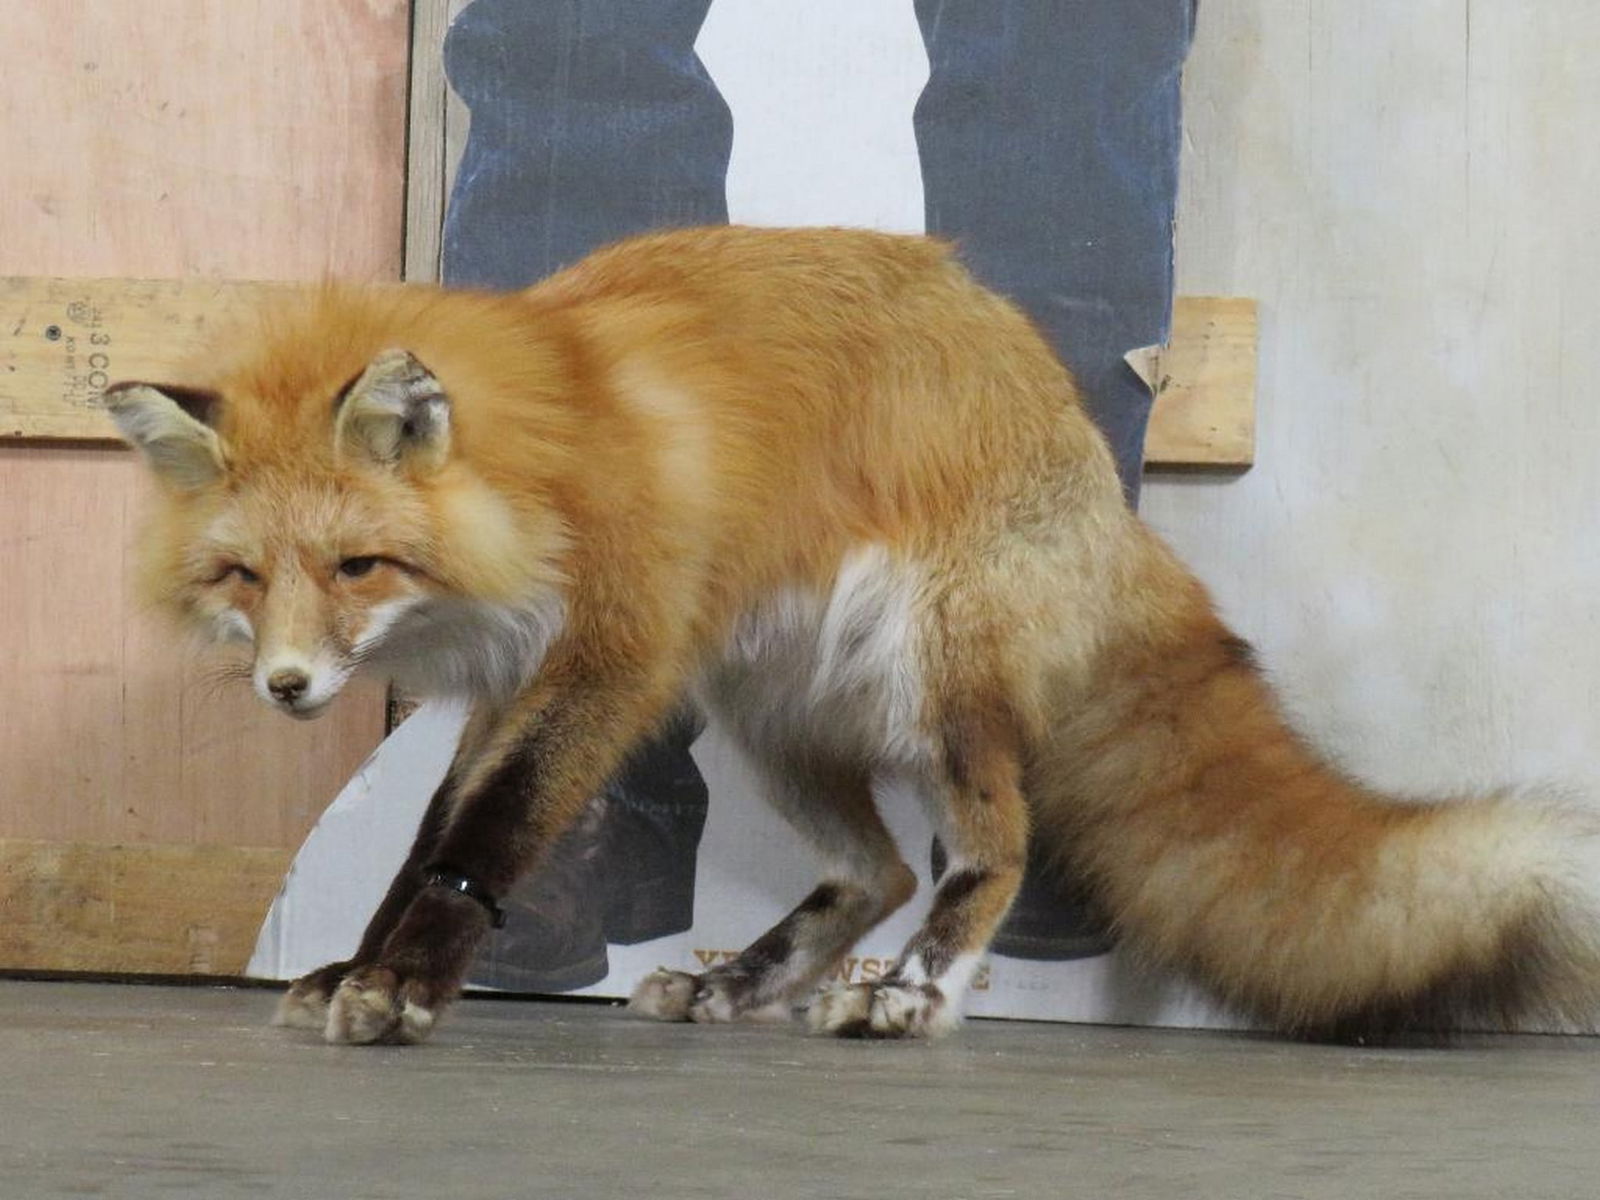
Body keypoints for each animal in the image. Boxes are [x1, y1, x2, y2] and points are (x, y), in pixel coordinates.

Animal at [107, 224, 1600, 1047]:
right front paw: (360, 966)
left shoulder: (611, 660)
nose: (289, 685)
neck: (550, 471)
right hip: (770, 720)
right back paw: (741, 985)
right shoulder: (509, 683)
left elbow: (487, 841)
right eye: (244, 576)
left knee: (993, 847)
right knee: (875, 869)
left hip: (935, 684)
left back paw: (914, 995)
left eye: (356, 565)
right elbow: (428, 841)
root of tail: (1094, 469)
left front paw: (403, 988)